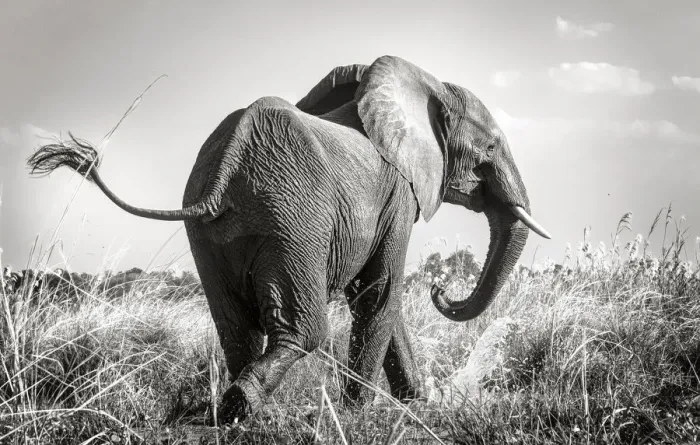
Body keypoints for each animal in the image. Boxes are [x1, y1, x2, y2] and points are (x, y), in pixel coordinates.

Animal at [27, 55, 550, 423]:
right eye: (490, 147)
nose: (441, 290)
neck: (424, 82)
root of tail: (227, 166)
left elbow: (377, 297)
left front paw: (418, 403)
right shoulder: (398, 193)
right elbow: (377, 293)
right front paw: (359, 414)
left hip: (216, 233)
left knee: (235, 325)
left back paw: (244, 412)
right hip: (293, 219)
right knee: (305, 329)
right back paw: (243, 408)